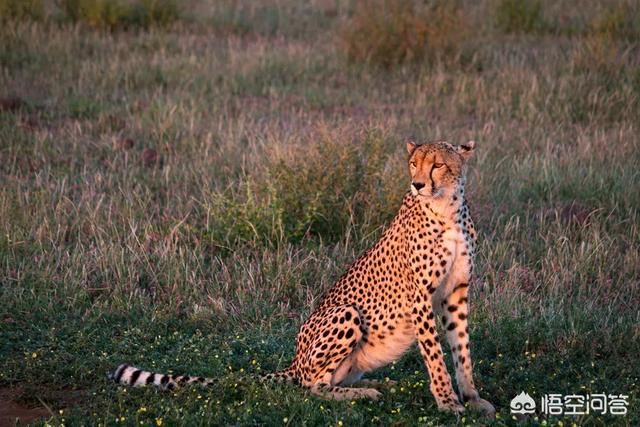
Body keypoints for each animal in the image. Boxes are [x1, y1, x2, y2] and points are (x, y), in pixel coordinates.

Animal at [112, 142, 496, 416]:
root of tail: (295, 361)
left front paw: (471, 397)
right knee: (311, 386)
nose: (417, 184)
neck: (447, 208)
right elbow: (435, 354)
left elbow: (461, 348)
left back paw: (372, 383)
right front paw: (448, 401)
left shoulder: (456, 292)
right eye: (414, 163)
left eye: (438, 165)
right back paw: (363, 392)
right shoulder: (419, 296)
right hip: (345, 312)